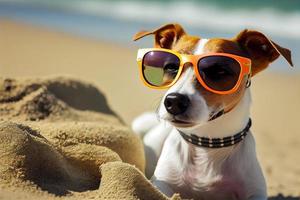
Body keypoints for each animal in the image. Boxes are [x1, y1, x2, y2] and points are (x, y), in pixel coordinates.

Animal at [131, 23, 292, 200]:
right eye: (171, 67)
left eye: (218, 70)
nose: (174, 101)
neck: (208, 145)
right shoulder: (162, 183)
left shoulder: (255, 191)